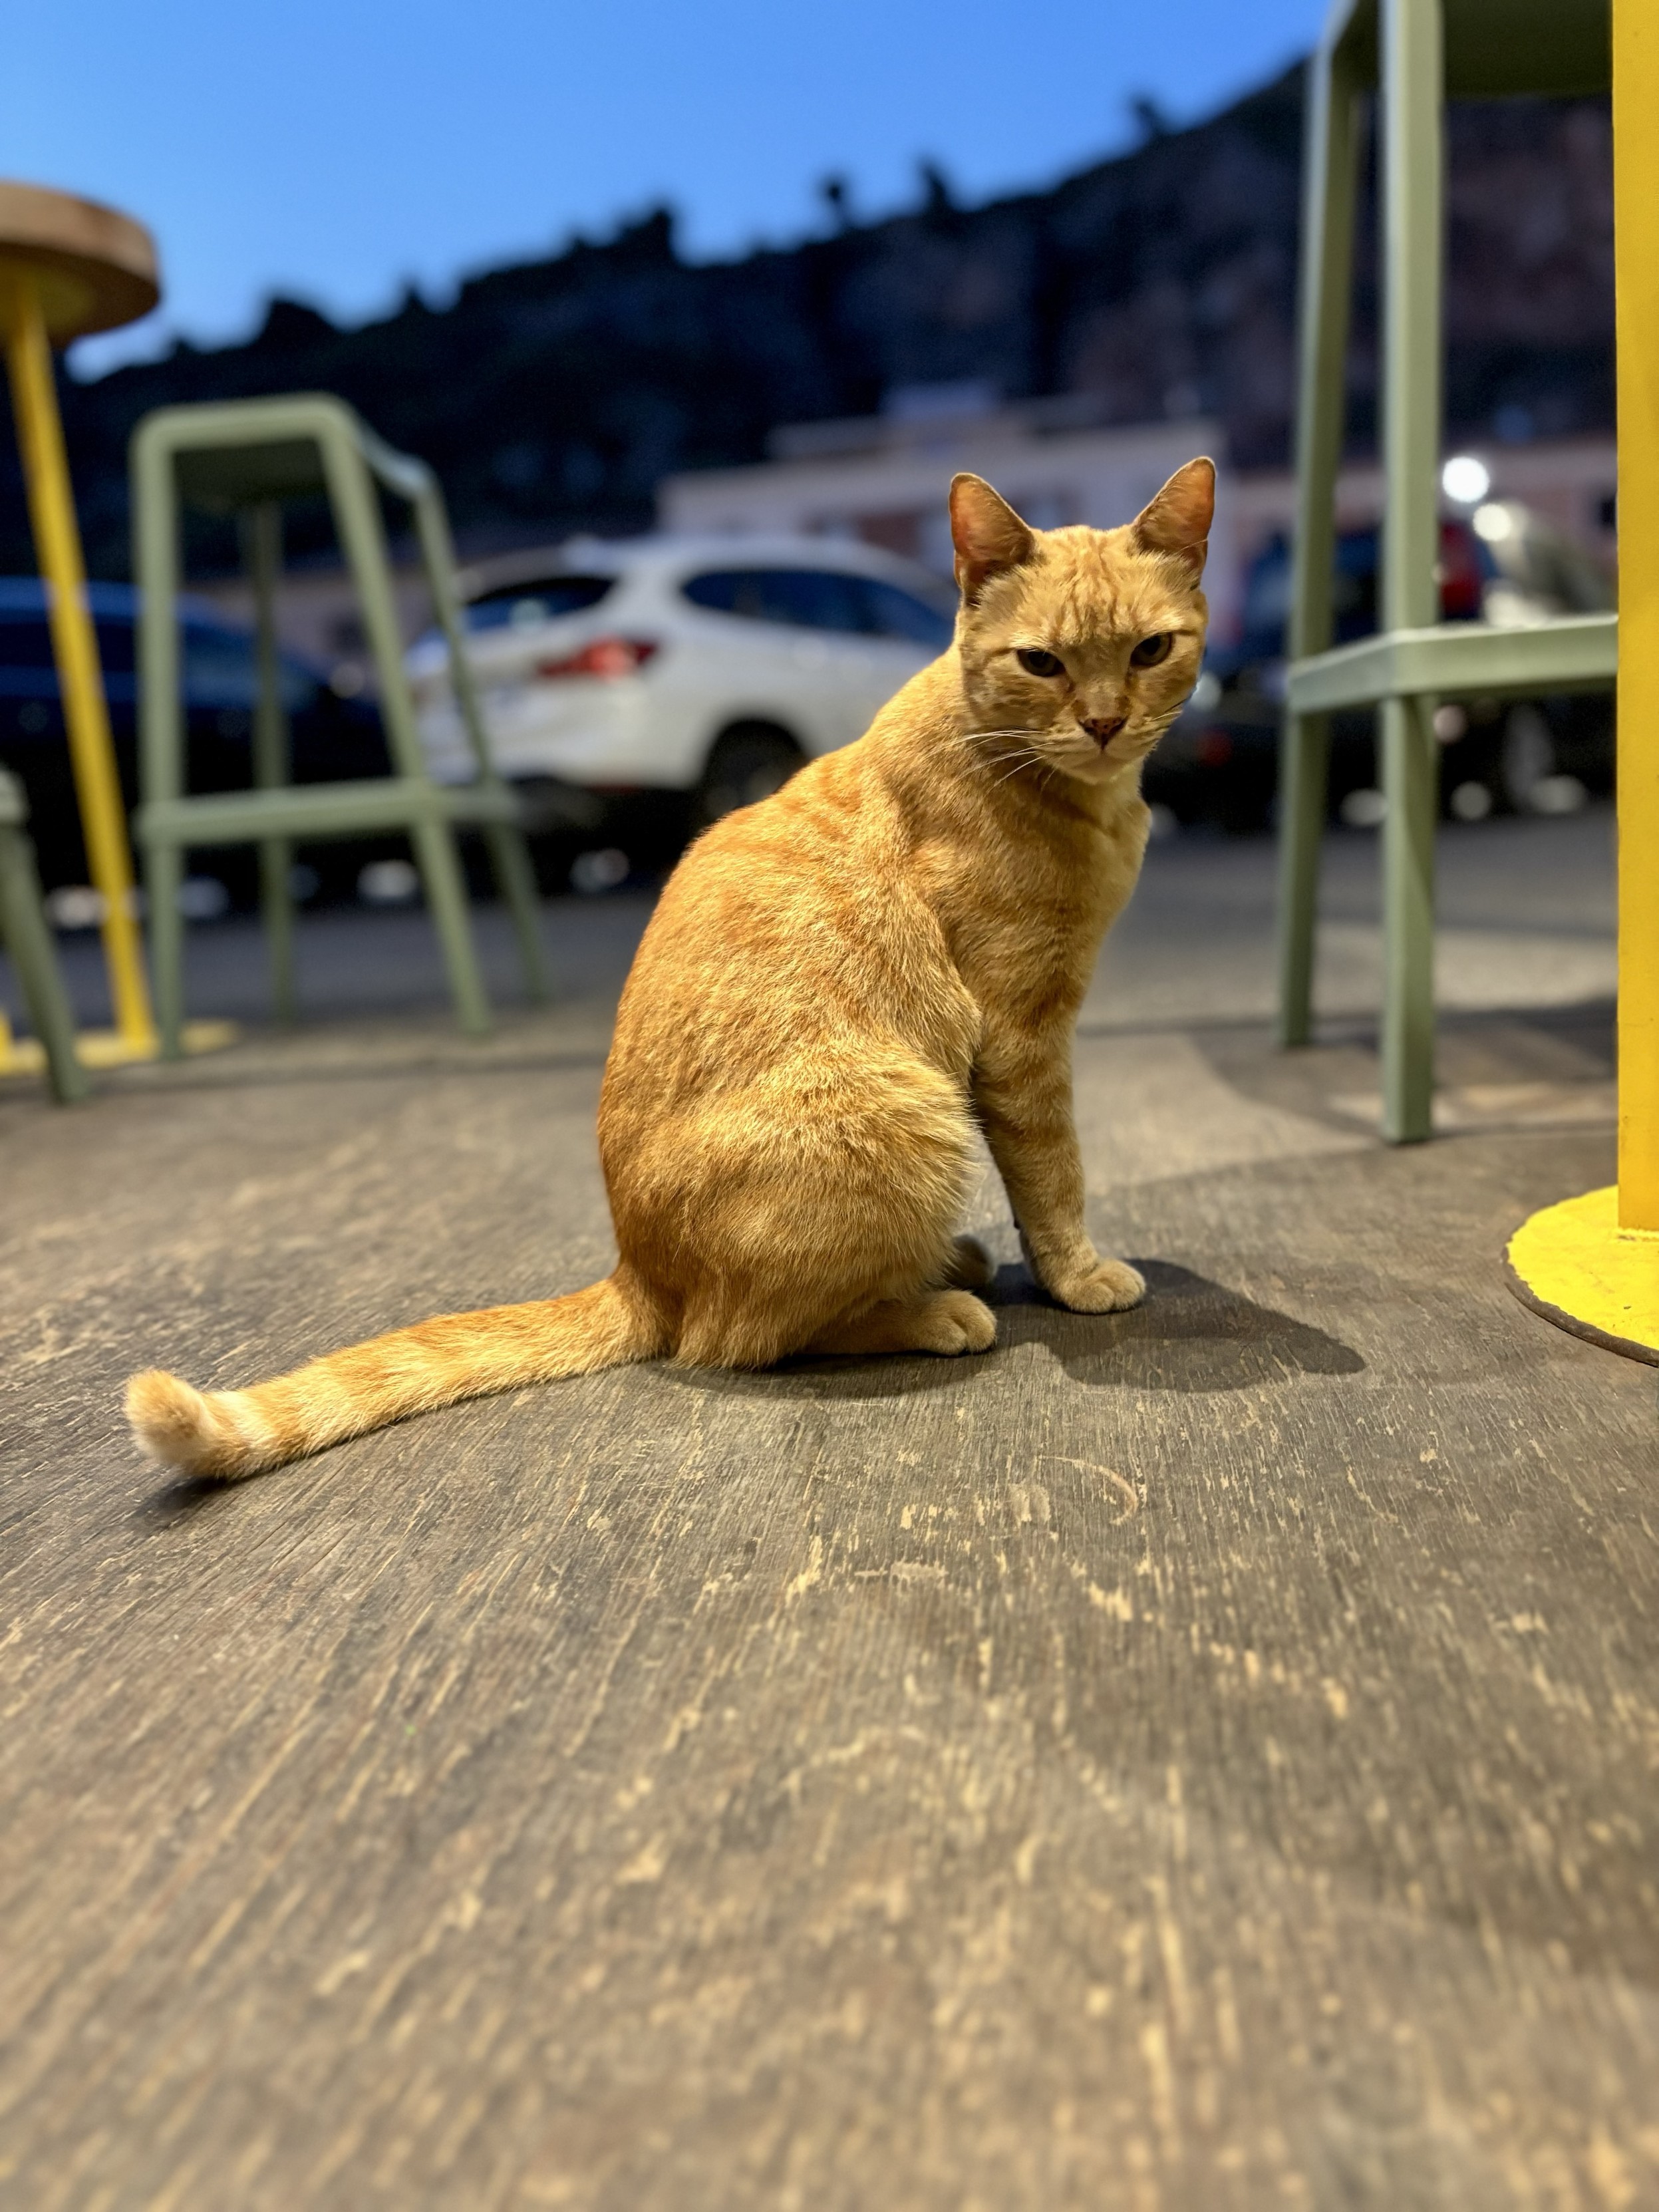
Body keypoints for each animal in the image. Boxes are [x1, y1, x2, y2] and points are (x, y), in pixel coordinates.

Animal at [130, 455, 1212, 1478]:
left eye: (1149, 651)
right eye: (1040, 662)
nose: (1105, 722)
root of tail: (637, 1268)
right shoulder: (1023, 1040)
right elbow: (1054, 1174)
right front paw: (1078, 1275)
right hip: (906, 1113)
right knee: (742, 1338)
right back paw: (933, 1307)